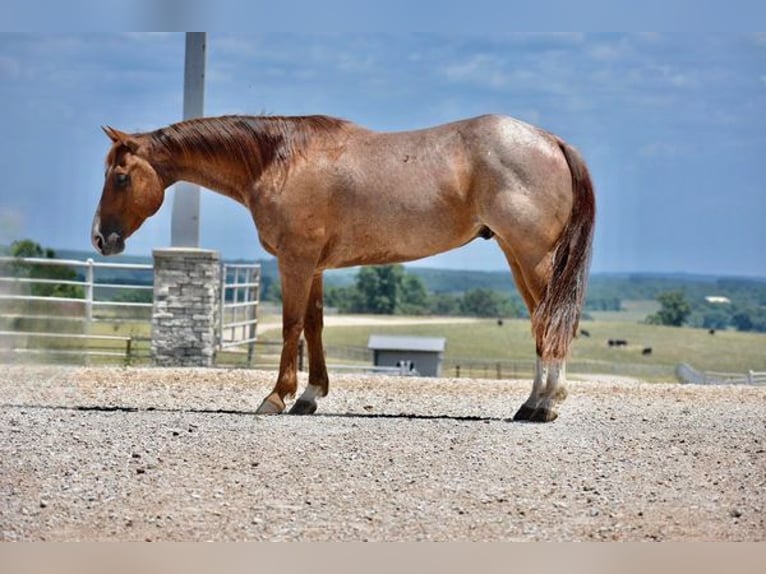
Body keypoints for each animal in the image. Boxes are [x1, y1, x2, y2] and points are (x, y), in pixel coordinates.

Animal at [93, 116, 600, 424]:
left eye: (120, 177)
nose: (100, 237)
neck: (281, 160)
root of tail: (553, 142)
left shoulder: (294, 261)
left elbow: (291, 326)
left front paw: (276, 397)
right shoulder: (314, 267)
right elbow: (314, 327)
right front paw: (310, 396)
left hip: (532, 256)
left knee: (550, 324)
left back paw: (546, 405)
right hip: (519, 256)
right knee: (542, 323)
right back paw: (531, 403)